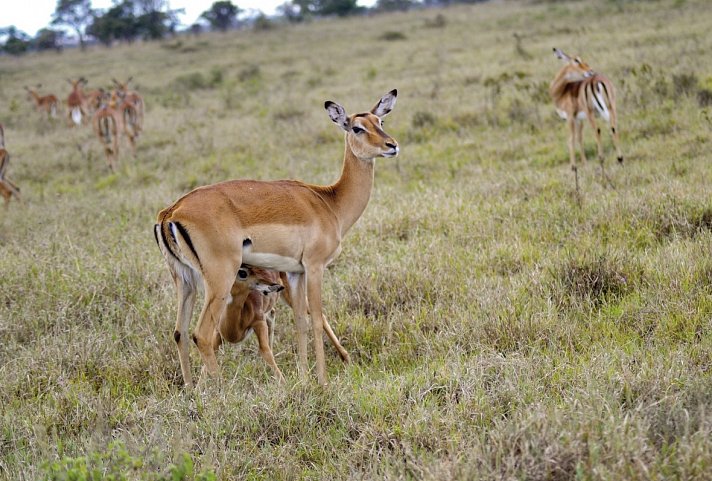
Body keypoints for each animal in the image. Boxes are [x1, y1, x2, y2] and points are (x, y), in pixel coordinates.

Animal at [155, 88, 398, 384]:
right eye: (357, 127)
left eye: (380, 121)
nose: (391, 145)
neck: (329, 202)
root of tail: (170, 212)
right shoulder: (315, 266)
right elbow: (317, 319)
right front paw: (323, 381)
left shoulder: (294, 272)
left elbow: (301, 321)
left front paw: (304, 379)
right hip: (219, 278)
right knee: (201, 334)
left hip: (185, 280)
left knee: (179, 333)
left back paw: (191, 389)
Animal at [552, 47, 624, 192]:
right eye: (576, 60)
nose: (590, 71)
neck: (561, 92)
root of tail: (597, 81)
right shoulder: (580, 120)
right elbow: (580, 139)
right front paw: (584, 164)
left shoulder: (570, 118)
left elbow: (571, 139)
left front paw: (573, 167)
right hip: (612, 107)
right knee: (614, 128)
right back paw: (620, 160)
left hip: (592, 114)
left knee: (598, 131)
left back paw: (602, 168)